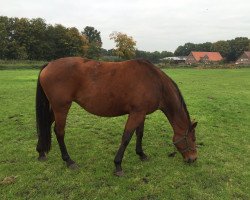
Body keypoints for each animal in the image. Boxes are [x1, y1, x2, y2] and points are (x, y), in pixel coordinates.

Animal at [36, 57, 198, 176]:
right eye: (193, 139)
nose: (193, 159)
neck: (155, 82)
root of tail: (49, 64)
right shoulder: (136, 113)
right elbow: (126, 137)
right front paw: (118, 165)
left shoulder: (141, 113)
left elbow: (139, 134)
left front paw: (141, 154)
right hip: (61, 107)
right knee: (59, 132)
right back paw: (69, 161)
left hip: (55, 108)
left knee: (46, 125)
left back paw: (41, 152)